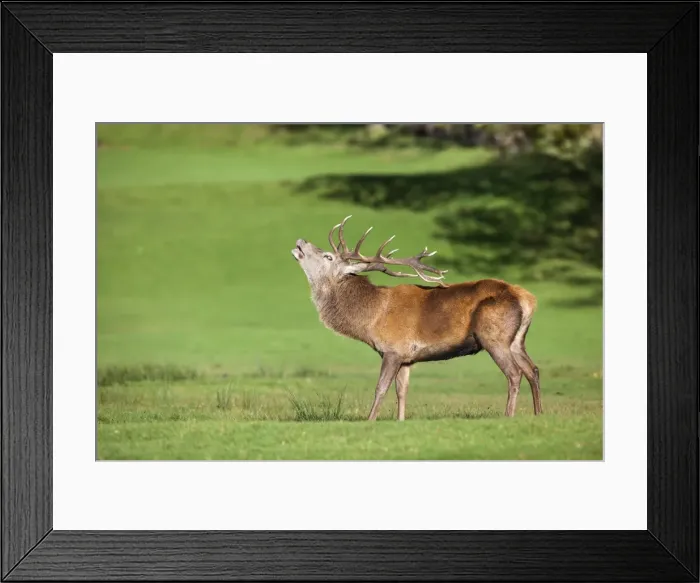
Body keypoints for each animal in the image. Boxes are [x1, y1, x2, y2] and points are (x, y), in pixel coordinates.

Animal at [290, 215, 542, 421]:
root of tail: (528, 299)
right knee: (533, 370)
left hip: (494, 336)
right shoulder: (406, 357)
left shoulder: (392, 349)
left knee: (514, 373)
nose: (301, 241)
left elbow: (381, 388)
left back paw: (508, 416)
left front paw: (370, 421)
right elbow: (402, 391)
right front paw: (400, 421)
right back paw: (538, 413)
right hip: (516, 340)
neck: (371, 317)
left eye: (328, 256)